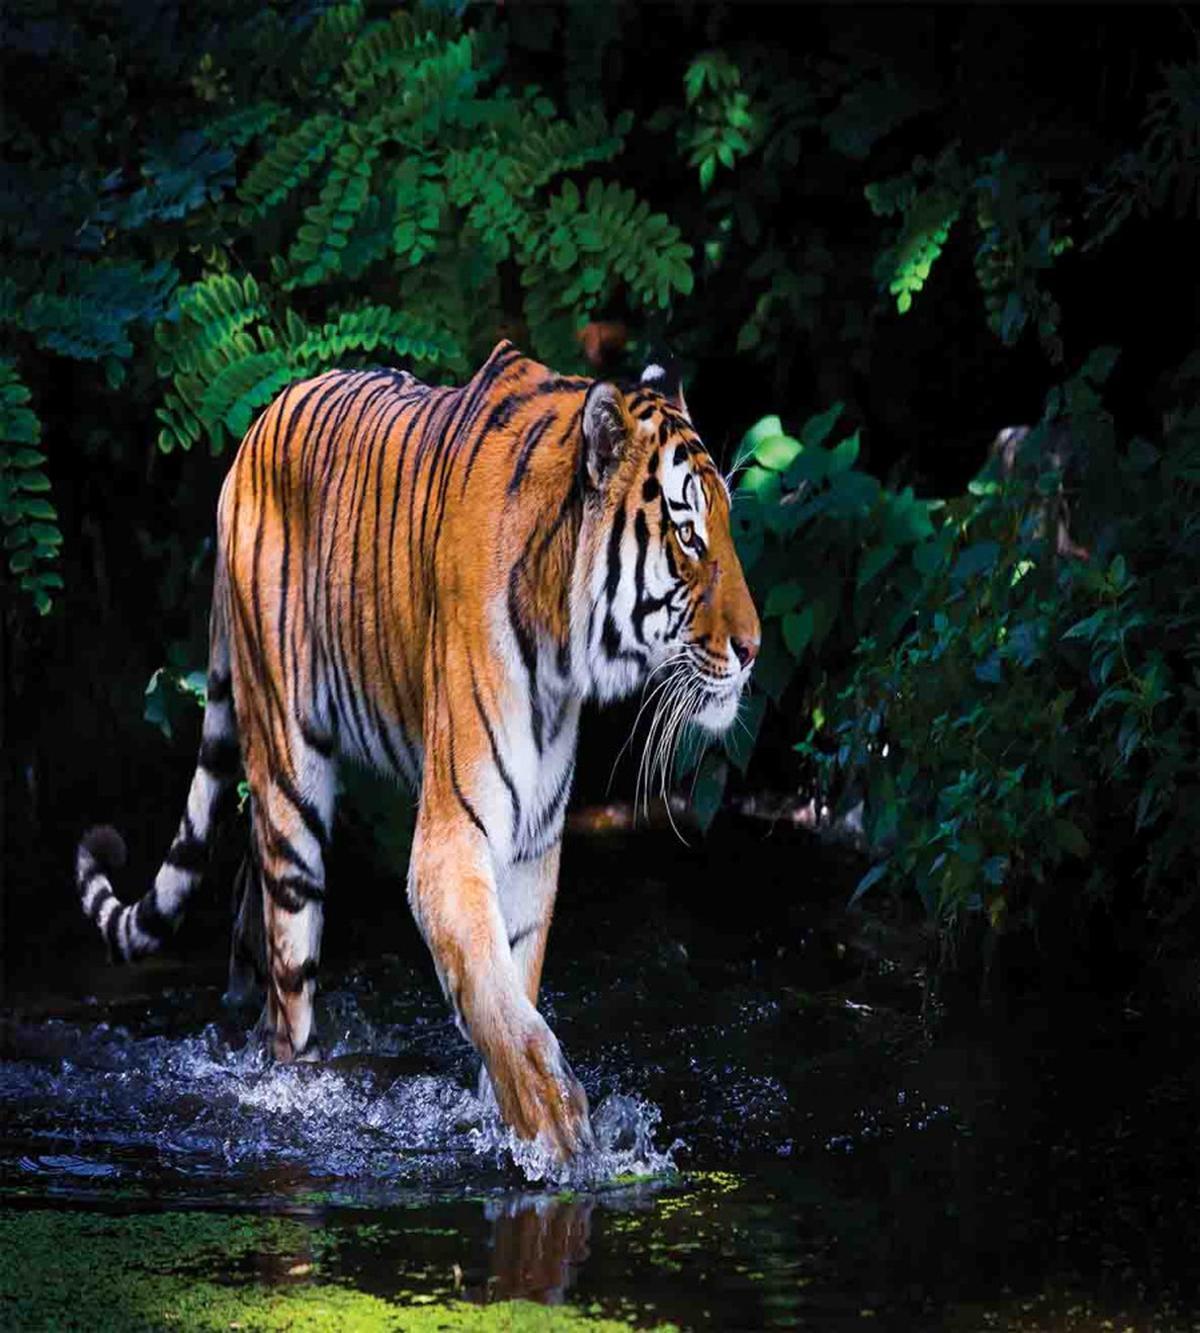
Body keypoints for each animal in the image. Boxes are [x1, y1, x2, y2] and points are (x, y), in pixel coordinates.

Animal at [74, 341, 760, 1161]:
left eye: (728, 529)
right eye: (689, 537)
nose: (754, 649)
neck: (565, 646)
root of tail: (251, 434)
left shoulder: (534, 841)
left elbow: (510, 979)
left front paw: (509, 1112)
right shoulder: (453, 833)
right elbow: (494, 995)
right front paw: (554, 1120)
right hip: (289, 777)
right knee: (290, 984)